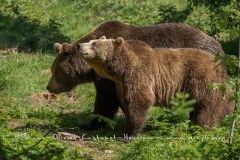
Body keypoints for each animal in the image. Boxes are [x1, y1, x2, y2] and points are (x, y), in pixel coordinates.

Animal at [47, 20, 227, 129]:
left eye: (55, 71)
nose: (49, 87)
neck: (92, 67)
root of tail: (218, 47)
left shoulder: (110, 76)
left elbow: (106, 99)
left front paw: (92, 123)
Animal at [76, 37, 233, 136]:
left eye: (94, 44)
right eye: (90, 41)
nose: (79, 45)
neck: (122, 68)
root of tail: (221, 66)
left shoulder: (139, 74)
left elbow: (139, 101)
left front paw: (131, 133)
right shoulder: (121, 83)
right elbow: (124, 102)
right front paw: (126, 128)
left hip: (203, 81)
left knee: (206, 108)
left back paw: (201, 128)